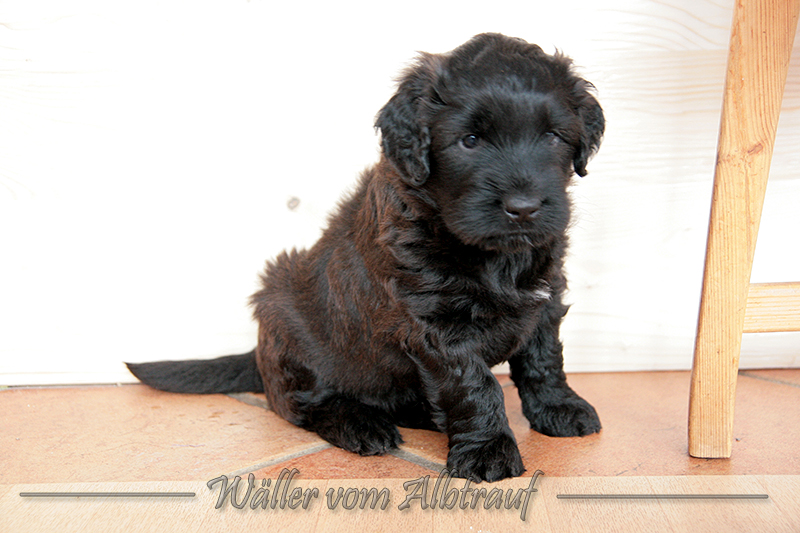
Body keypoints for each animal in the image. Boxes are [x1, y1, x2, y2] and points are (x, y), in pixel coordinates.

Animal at [127, 33, 604, 482]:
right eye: (470, 141)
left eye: (553, 137)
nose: (523, 208)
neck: (493, 255)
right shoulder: (436, 323)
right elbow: (474, 385)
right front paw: (488, 448)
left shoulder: (544, 295)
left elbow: (544, 360)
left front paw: (559, 409)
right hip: (287, 317)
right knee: (303, 404)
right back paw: (360, 424)